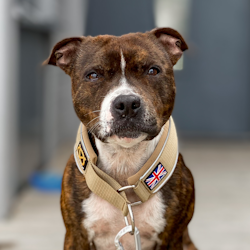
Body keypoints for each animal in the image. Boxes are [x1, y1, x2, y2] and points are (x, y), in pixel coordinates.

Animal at [44, 27, 197, 250]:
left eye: (153, 71)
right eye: (93, 75)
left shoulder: (171, 239)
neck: (124, 163)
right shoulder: (76, 236)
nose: (126, 103)